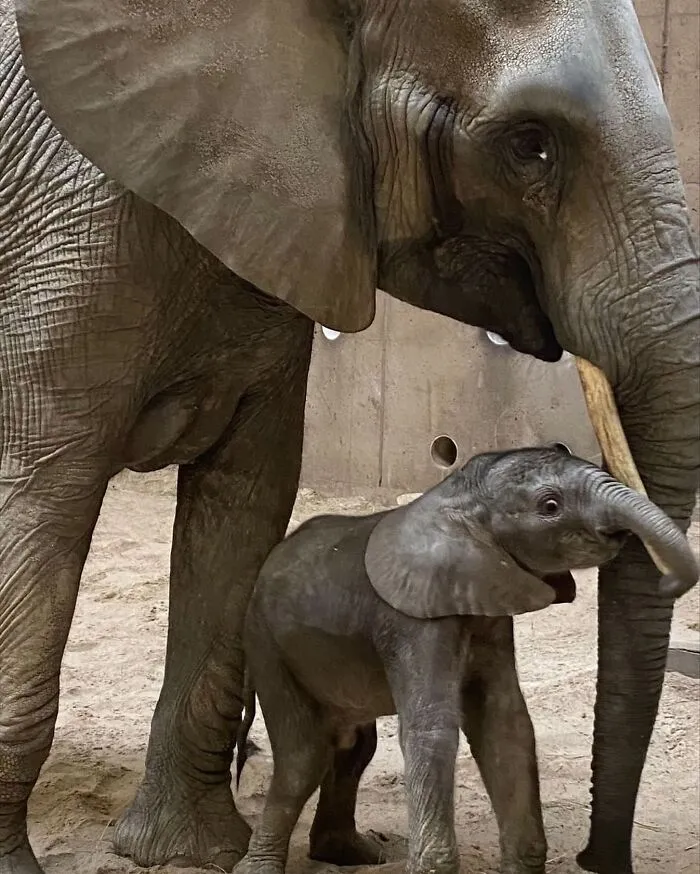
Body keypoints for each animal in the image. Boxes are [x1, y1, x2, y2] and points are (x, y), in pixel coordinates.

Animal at [234, 446, 699, 874]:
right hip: (265, 645)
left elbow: (506, 727)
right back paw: (260, 867)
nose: (671, 583)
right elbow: (433, 730)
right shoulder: (412, 621)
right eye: (550, 506)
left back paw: (354, 855)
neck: (455, 499)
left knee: (352, 749)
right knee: (303, 757)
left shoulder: (489, 610)